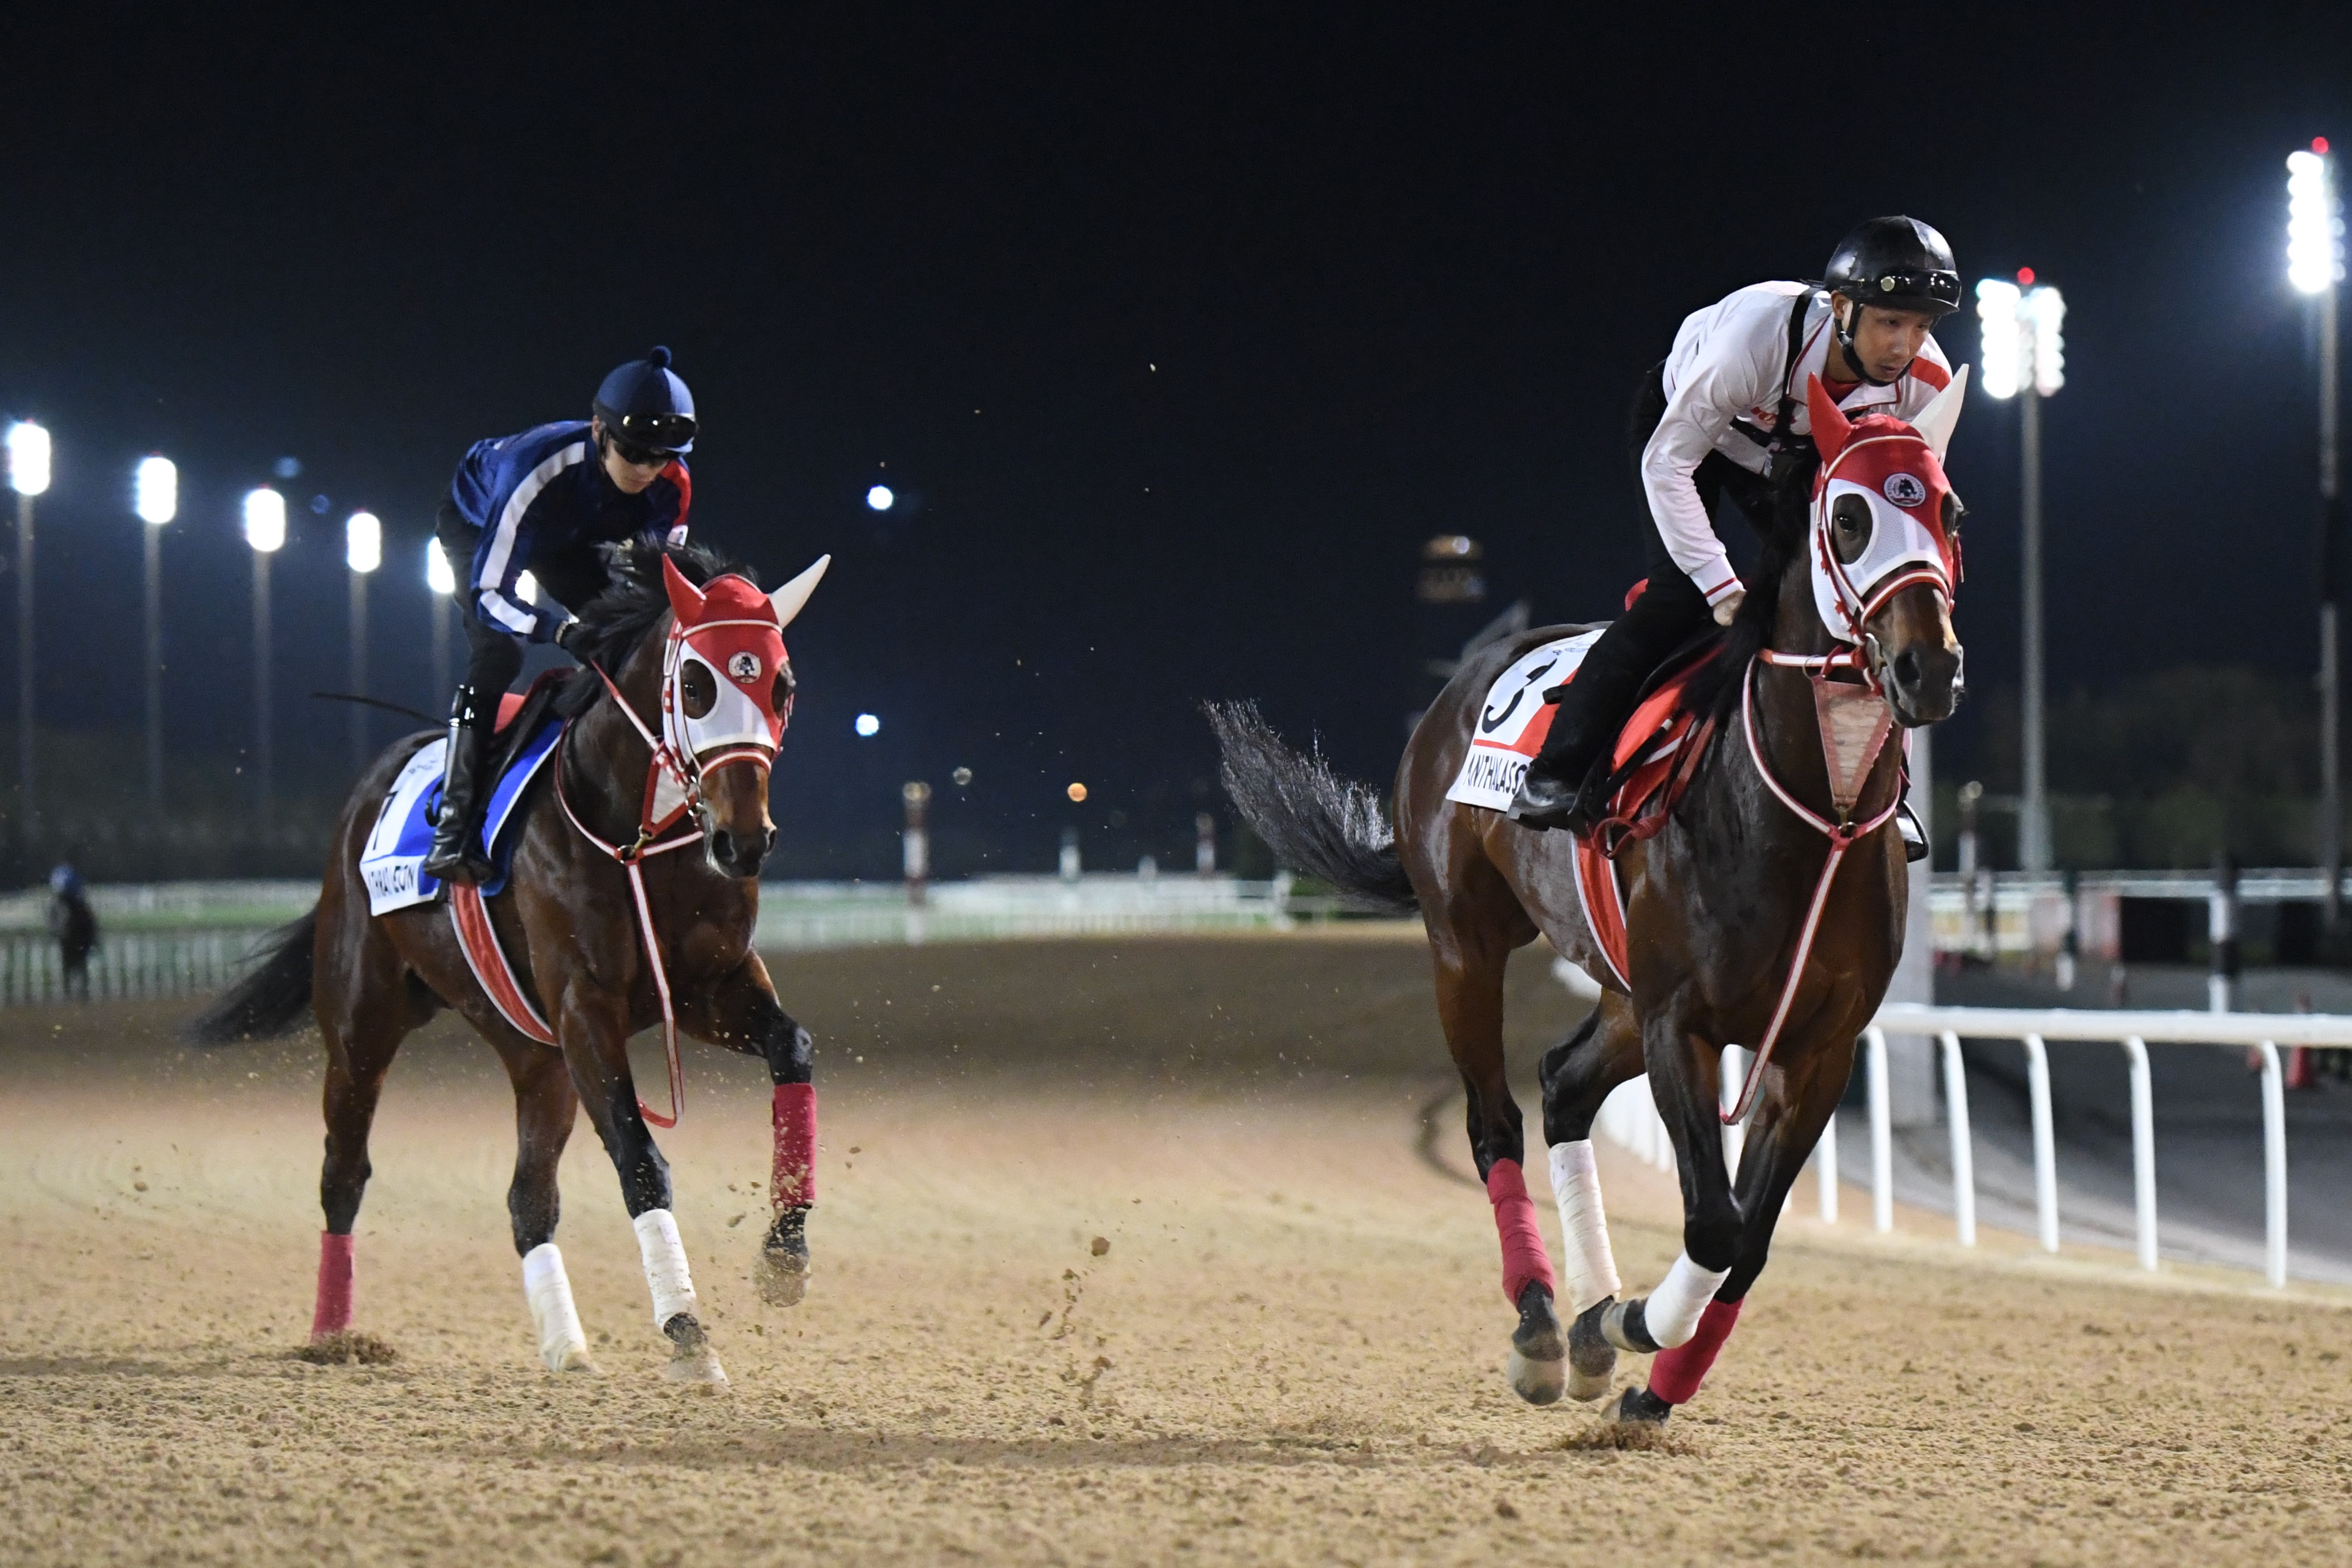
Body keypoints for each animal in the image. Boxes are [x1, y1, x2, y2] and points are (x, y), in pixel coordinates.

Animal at [197, 541, 832, 1382]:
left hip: (538, 1058)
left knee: (527, 1200)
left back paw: (567, 1346)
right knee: (344, 1172)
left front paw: (785, 1255)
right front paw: (687, 1327)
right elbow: (639, 1156)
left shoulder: (710, 987)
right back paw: (334, 1337)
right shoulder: (585, 1007)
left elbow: (793, 1048)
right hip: (363, 1024)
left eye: (782, 685)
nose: (744, 840)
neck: (636, 836)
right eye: (697, 685)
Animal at [1214, 374, 1966, 1429]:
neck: (1814, 811)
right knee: (1495, 1118)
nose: (1926, 668)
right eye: (1850, 517)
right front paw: (1632, 1322)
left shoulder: (1817, 1048)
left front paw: (1654, 1375)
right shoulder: (1681, 1021)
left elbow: (1750, 1238)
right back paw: (1539, 1321)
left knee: (1563, 1085)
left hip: (1616, 991)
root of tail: (1461, 686)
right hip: (1467, 946)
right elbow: (1714, 1221)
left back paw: (1585, 1318)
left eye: (1949, 509)